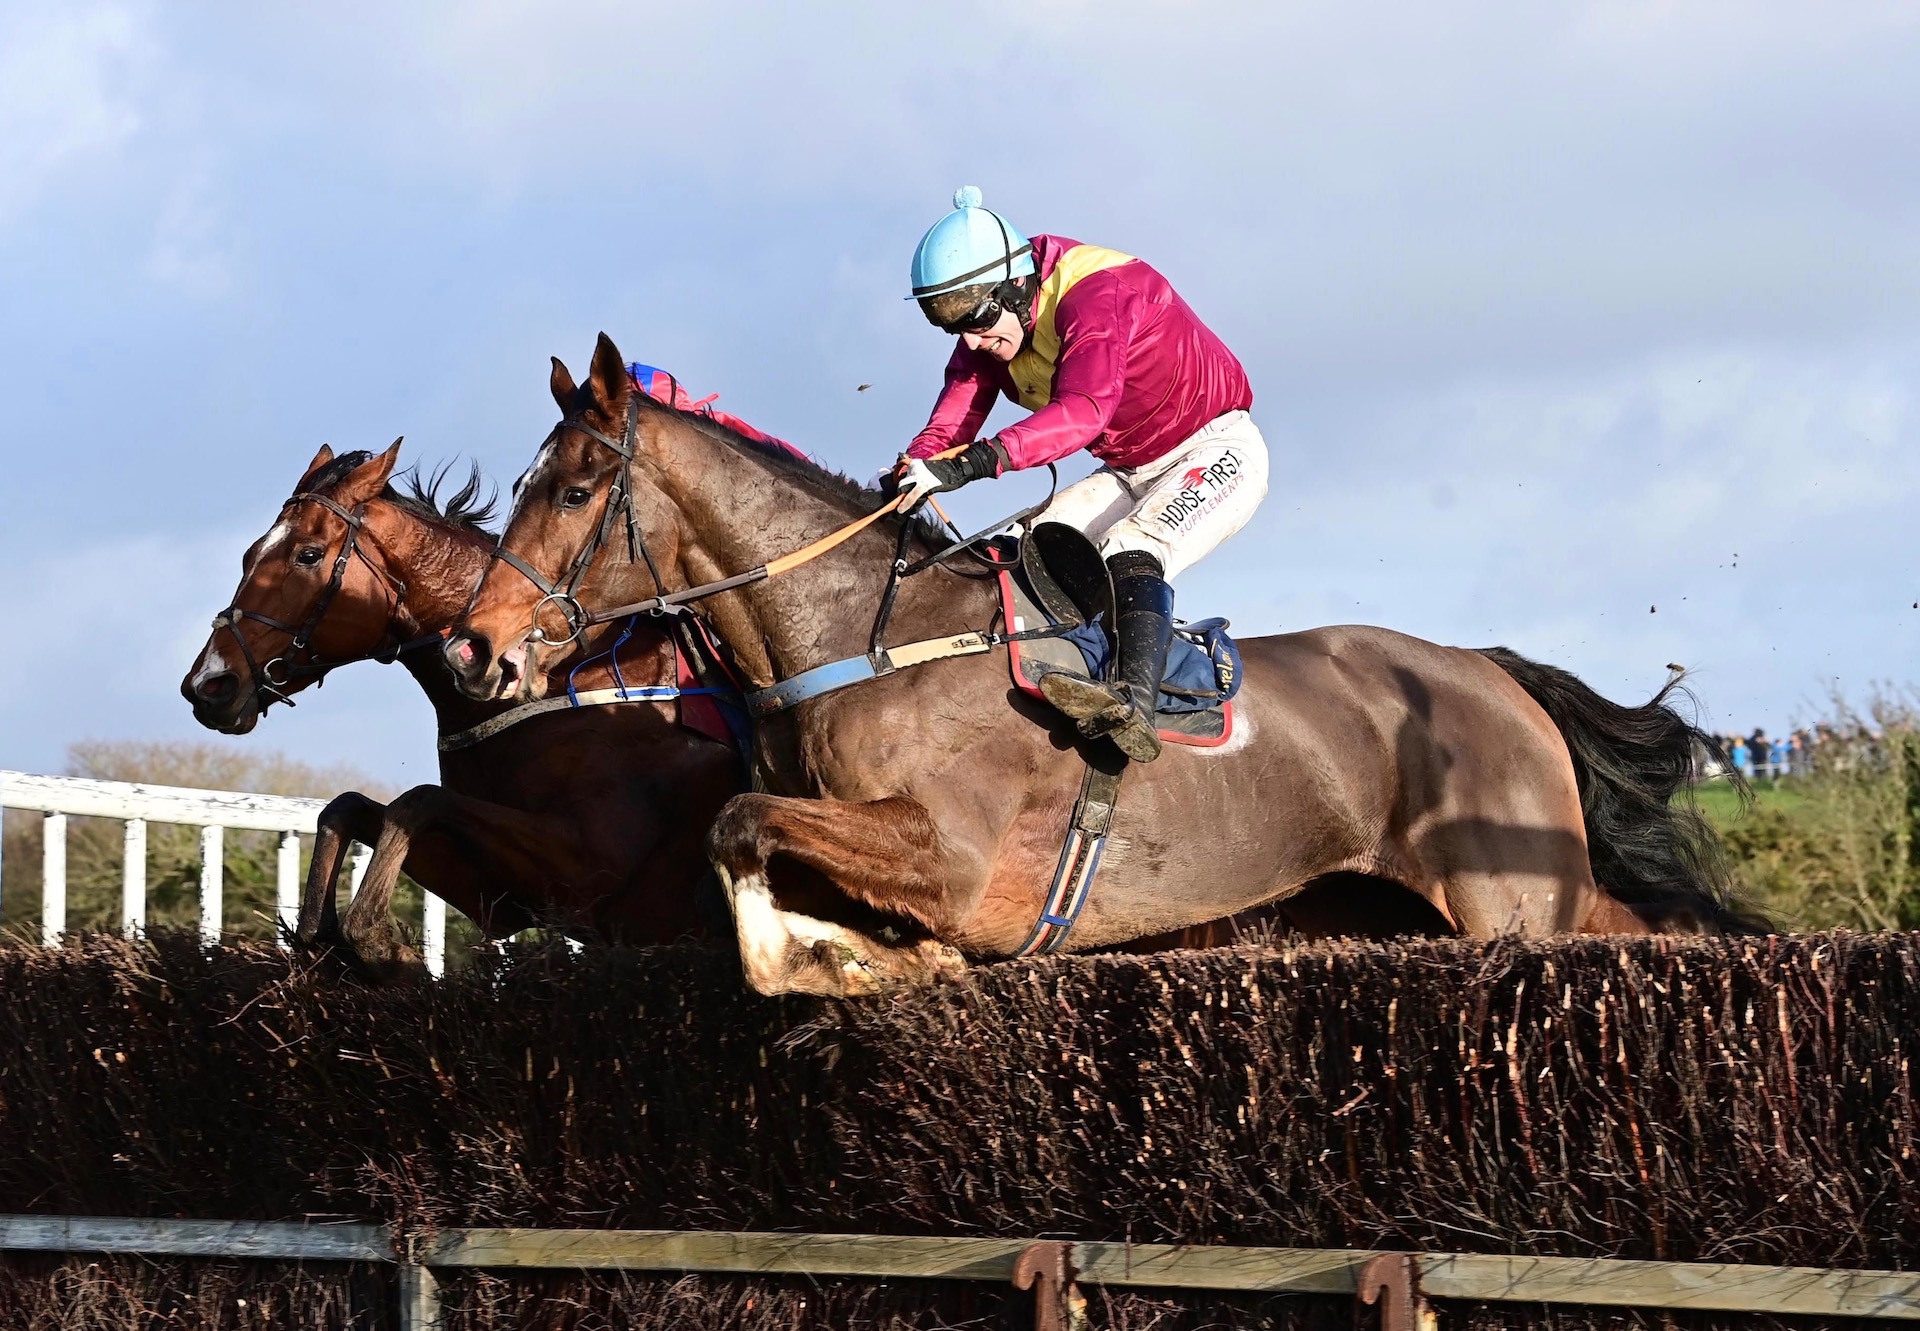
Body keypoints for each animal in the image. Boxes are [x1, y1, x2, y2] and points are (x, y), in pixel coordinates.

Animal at [181, 441, 741, 971]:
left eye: (308, 555)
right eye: (250, 554)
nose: (208, 686)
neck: (559, 679)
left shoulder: (592, 871)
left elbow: (417, 801)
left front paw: (380, 945)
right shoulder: (500, 895)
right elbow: (347, 808)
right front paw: (322, 937)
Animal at [441, 334, 1758, 998]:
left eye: (573, 487)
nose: (477, 645)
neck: (861, 642)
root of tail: (1491, 675)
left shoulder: (953, 853)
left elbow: (743, 835)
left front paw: (861, 959)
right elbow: (750, 854)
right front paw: (869, 956)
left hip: (1510, 904)